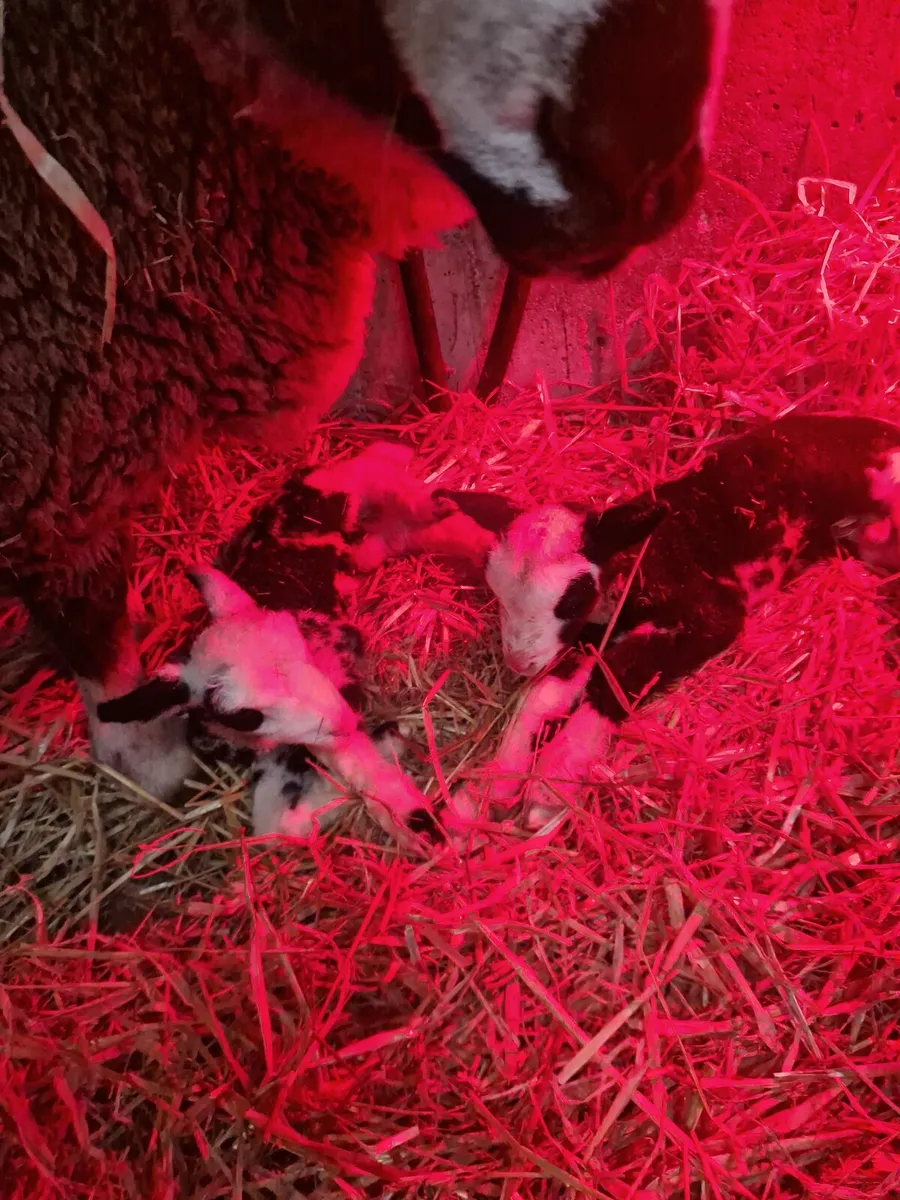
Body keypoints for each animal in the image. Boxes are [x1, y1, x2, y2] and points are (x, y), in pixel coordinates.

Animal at [428, 415, 900, 828]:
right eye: (497, 593)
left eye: (571, 598)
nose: (518, 663)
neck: (645, 560)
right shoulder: (591, 633)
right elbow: (543, 695)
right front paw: (482, 793)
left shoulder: (709, 618)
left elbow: (619, 676)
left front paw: (553, 782)